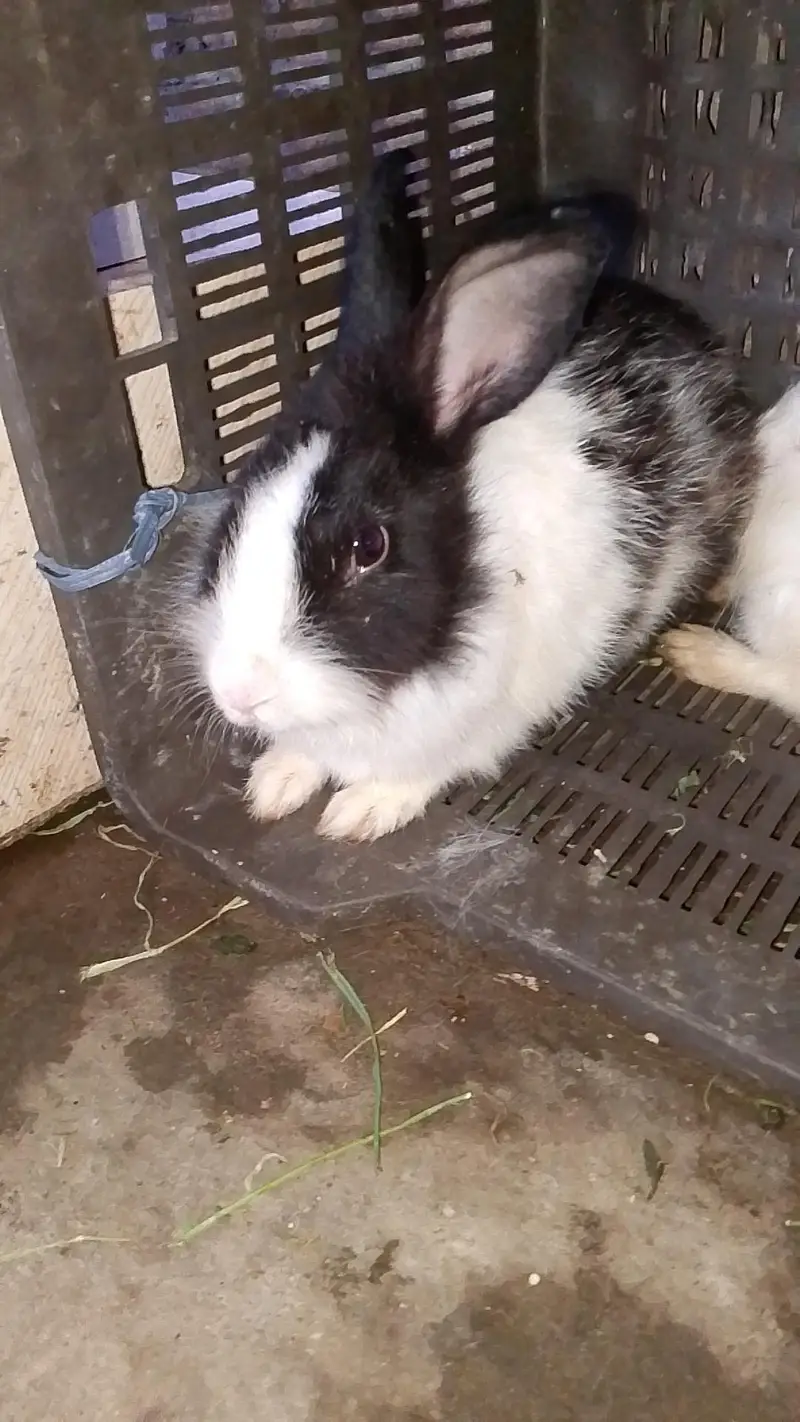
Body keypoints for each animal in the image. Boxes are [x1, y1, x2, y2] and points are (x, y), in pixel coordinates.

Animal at [179, 166, 759, 842]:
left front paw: (360, 812)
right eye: (239, 499)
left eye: (368, 547)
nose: (239, 694)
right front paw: (274, 783)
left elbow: (430, 767)